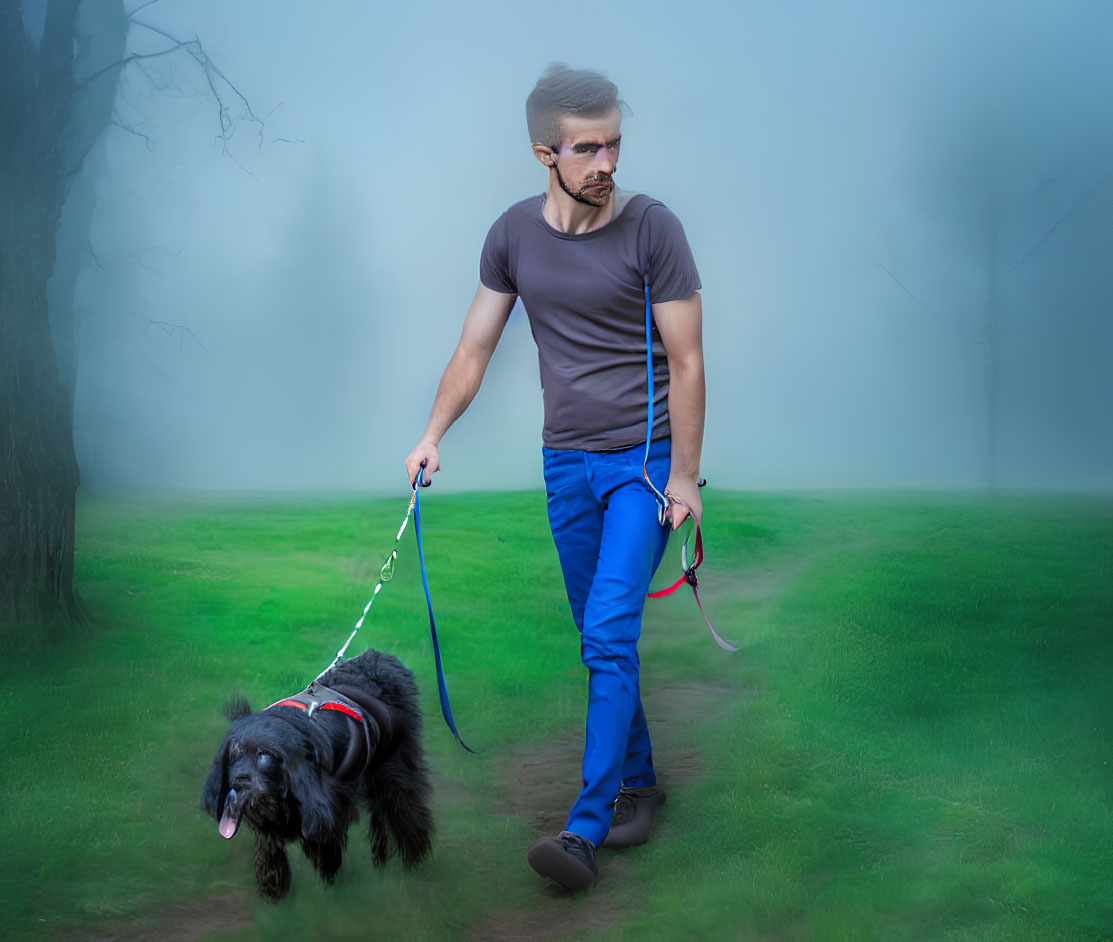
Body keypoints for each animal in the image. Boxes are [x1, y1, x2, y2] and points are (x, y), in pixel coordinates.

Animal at [203, 650, 434, 899]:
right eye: (233, 751)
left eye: (265, 755)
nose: (237, 782)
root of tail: (380, 657)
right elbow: (270, 854)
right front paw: (274, 890)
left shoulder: (328, 816)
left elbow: (325, 854)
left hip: (395, 772)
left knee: (406, 811)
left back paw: (414, 858)